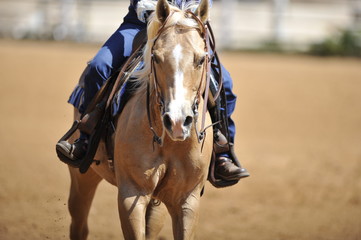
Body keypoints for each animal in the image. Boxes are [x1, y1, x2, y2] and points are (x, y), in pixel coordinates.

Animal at [67, 0, 212, 239]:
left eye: (201, 59)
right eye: (156, 58)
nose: (177, 122)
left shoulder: (186, 200)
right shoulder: (132, 194)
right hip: (83, 176)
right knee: (79, 224)